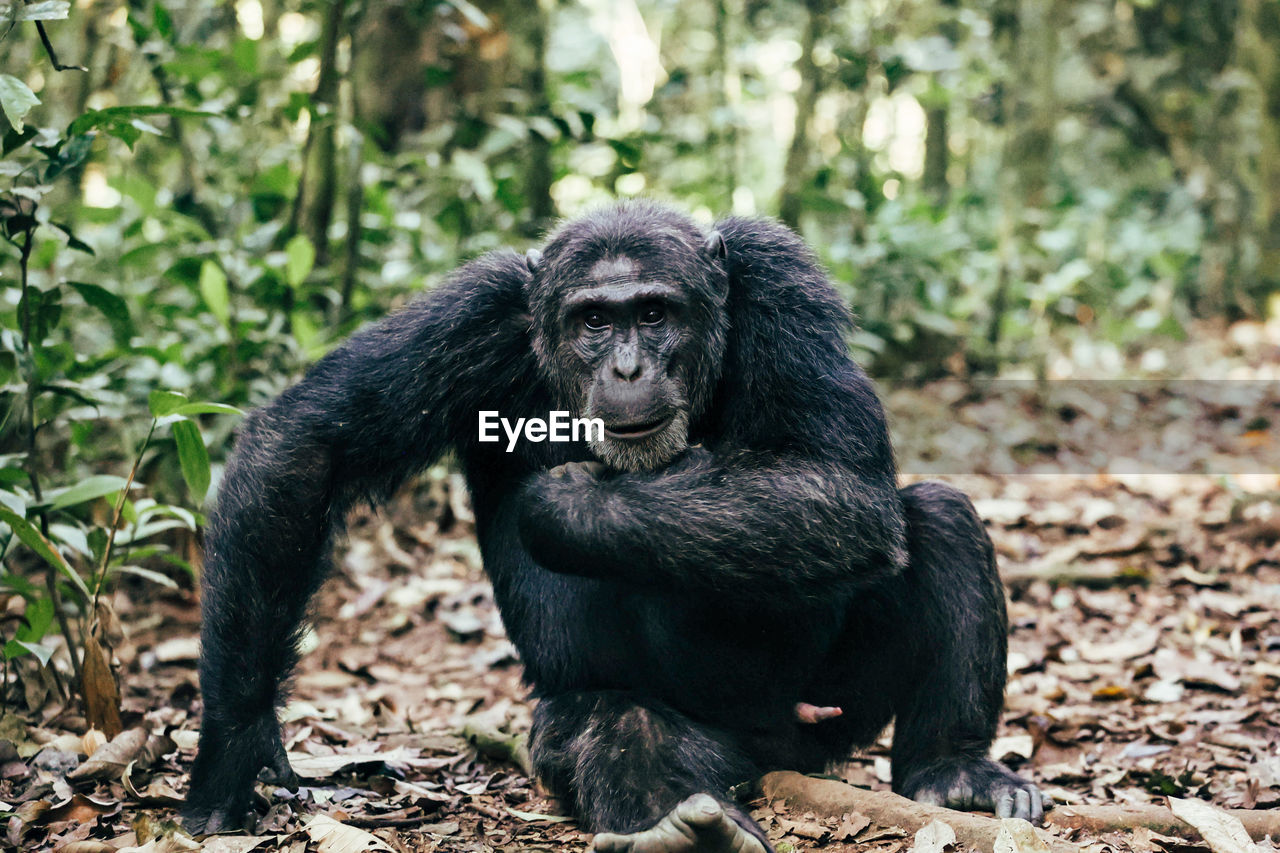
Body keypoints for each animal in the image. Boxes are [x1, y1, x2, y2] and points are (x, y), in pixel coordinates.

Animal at [185, 199, 1044, 845]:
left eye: (655, 312)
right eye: (594, 319)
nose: (628, 366)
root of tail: (772, 748)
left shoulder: (781, 280)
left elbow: (847, 484)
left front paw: (571, 504)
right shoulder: (471, 314)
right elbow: (309, 447)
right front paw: (236, 742)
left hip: (833, 715)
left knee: (941, 517)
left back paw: (953, 770)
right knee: (617, 720)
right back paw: (678, 826)